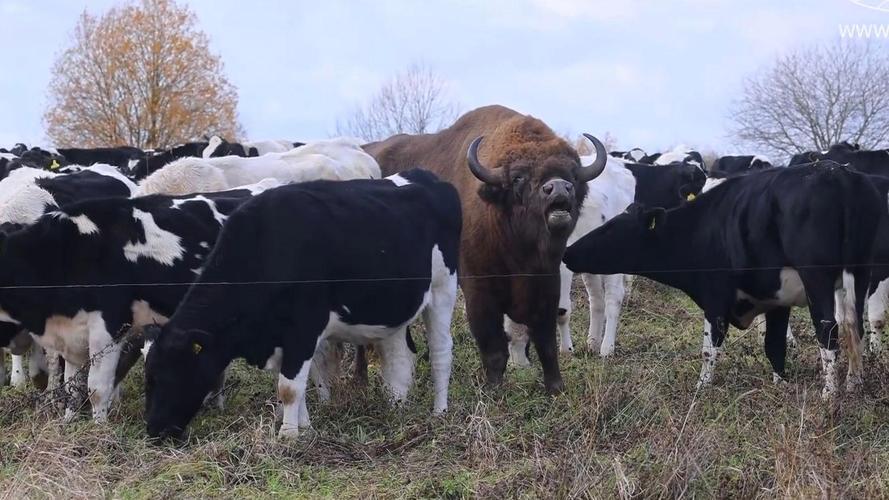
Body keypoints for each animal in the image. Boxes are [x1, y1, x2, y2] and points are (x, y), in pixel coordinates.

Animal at [0, 181, 278, 422]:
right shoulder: (70, 334)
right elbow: (72, 386)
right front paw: (68, 423)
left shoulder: (109, 327)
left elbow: (97, 387)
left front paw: (99, 429)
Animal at [142, 170, 462, 440]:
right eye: (148, 376)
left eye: (173, 373)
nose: (154, 430)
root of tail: (426, 177)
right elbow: (292, 383)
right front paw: (304, 427)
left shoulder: (304, 327)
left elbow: (289, 387)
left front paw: (289, 435)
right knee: (399, 356)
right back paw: (397, 407)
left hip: (443, 288)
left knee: (440, 351)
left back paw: (440, 411)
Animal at [364, 106, 608, 394]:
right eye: (518, 177)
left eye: (572, 175)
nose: (558, 188)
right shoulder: (479, 291)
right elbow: (493, 346)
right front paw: (493, 389)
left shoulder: (547, 284)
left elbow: (546, 343)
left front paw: (555, 388)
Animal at [560, 163, 880, 398]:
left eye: (609, 228)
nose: (568, 251)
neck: (700, 228)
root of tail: (836, 173)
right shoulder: (777, 300)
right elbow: (774, 344)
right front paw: (780, 384)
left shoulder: (715, 297)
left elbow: (709, 347)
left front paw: (702, 387)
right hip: (859, 274)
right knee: (854, 326)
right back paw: (854, 383)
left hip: (818, 277)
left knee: (829, 330)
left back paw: (830, 394)